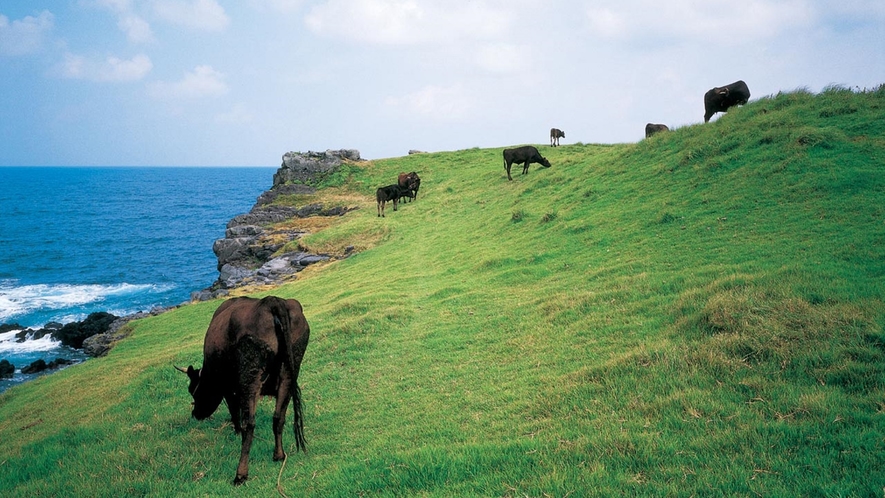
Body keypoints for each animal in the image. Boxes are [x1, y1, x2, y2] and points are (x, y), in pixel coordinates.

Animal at [174, 296, 310, 486]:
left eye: (193, 391)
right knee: (278, 417)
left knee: (250, 423)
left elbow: (233, 410)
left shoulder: (229, 388)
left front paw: (236, 431)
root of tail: (272, 301)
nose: (196, 414)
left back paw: (240, 474)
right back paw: (279, 455)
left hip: (250, 372)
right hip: (291, 368)